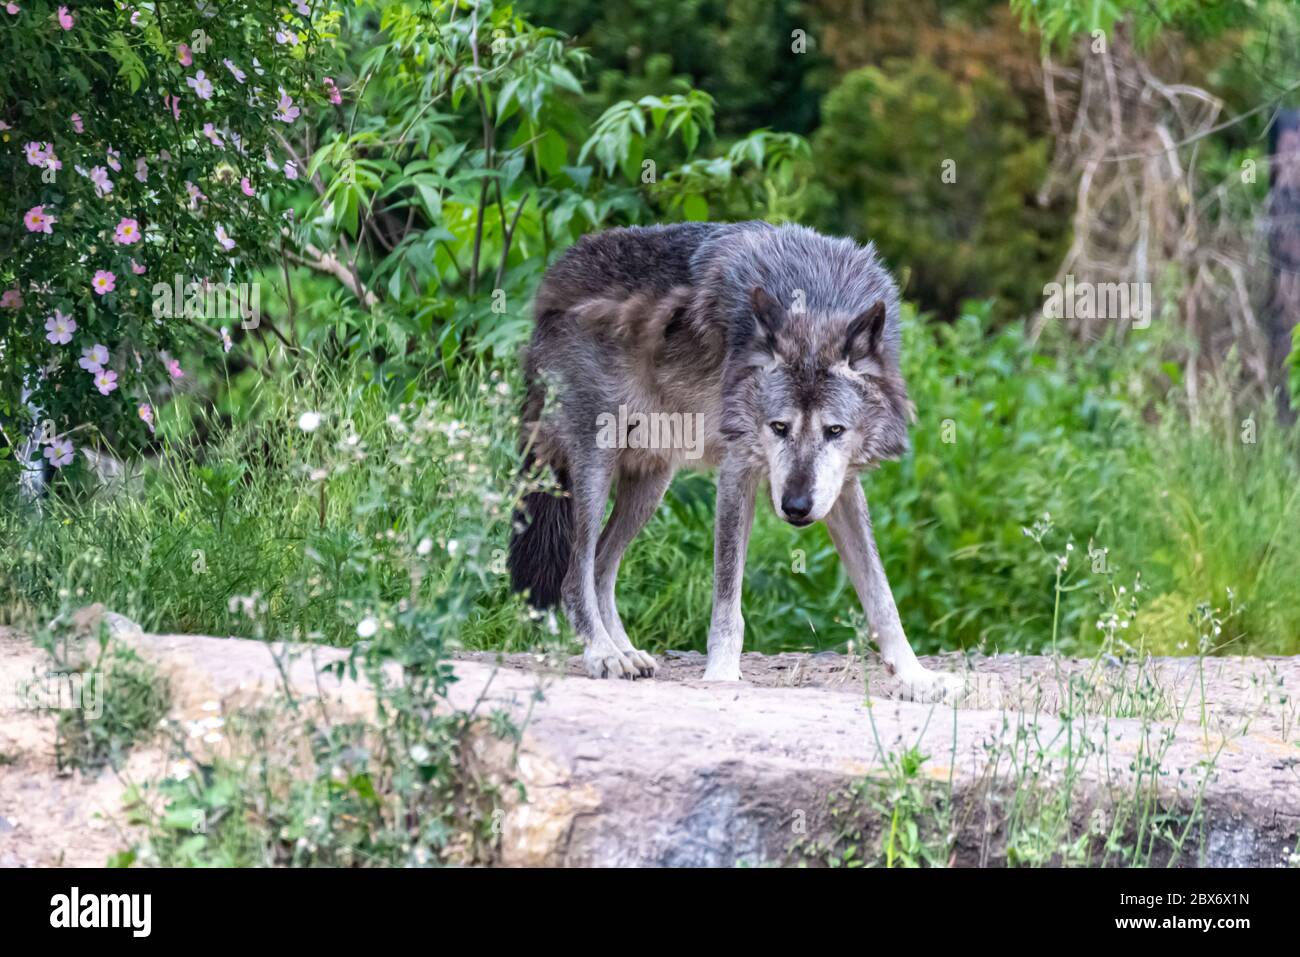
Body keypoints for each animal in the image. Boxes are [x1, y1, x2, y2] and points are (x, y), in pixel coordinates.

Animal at [506, 223, 967, 702]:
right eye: (778, 427)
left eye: (835, 431)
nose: (795, 508)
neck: (815, 300)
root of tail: (550, 288)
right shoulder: (737, 470)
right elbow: (728, 596)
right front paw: (723, 674)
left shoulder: (840, 489)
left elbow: (881, 596)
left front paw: (917, 676)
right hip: (594, 471)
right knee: (573, 574)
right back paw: (602, 653)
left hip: (651, 485)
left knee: (599, 567)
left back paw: (625, 652)